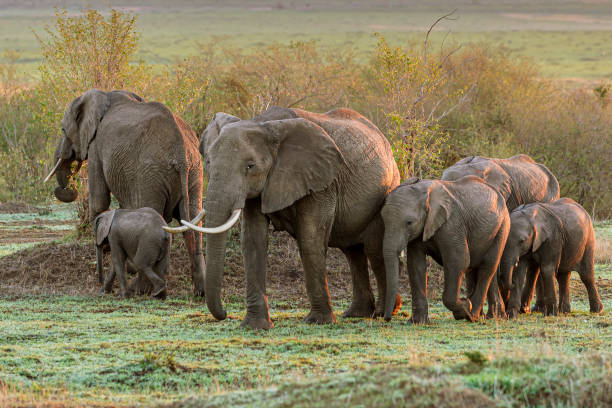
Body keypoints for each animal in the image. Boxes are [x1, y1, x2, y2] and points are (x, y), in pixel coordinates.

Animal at [44, 88, 206, 296]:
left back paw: (141, 290)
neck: (102, 95)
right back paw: (200, 292)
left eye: (63, 130)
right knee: (194, 222)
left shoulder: (96, 146)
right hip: (195, 172)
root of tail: (181, 154)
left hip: (150, 176)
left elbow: (99, 201)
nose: (64, 187)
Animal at [172, 107, 402, 330]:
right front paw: (255, 327)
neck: (263, 124)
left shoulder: (321, 181)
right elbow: (253, 240)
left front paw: (318, 322)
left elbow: (310, 239)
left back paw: (386, 312)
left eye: (250, 166)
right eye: (208, 162)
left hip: (386, 191)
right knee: (352, 251)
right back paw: (357, 314)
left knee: (373, 249)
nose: (225, 314)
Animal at [380, 177, 510, 324]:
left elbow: (458, 260)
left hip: (502, 227)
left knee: (487, 267)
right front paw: (418, 322)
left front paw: (465, 307)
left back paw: (472, 315)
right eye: (383, 220)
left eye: (409, 223)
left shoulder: (452, 224)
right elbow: (415, 265)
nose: (387, 318)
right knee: (482, 269)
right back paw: (491, 315)